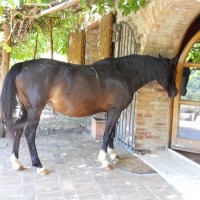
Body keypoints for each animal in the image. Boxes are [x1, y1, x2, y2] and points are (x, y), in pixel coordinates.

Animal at [0, 54, 178, 175]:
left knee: (18, 131)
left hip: (25, 109)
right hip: (35, 110)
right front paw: (104, 160)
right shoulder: (115, 110)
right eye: (173, 71)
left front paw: (113, 154)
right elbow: (107, 133)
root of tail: (23, 65)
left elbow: (111, 133)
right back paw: (39, 166)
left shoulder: (112, 111)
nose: (175, 93)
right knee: (29, 134)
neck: (122, 74)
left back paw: (17, 162)